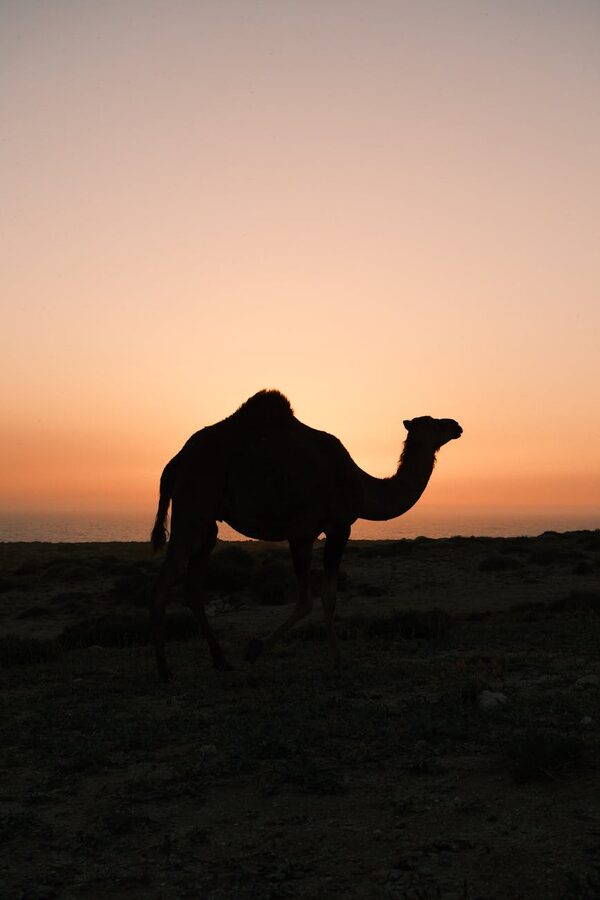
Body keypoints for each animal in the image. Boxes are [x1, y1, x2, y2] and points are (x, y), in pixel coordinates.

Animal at [150, 390, 462, 680]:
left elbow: (305, 600)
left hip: (207, 523)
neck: (361, 486)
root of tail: (175, 461)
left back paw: (221, 661)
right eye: (433, 423)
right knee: (165, 578)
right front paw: (335, 662)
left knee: (193, 586)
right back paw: (164, 669)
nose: (456, 425)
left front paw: (254, 650)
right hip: (194, 504)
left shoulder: (303, 534)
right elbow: (320, 598)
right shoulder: (334, 527)